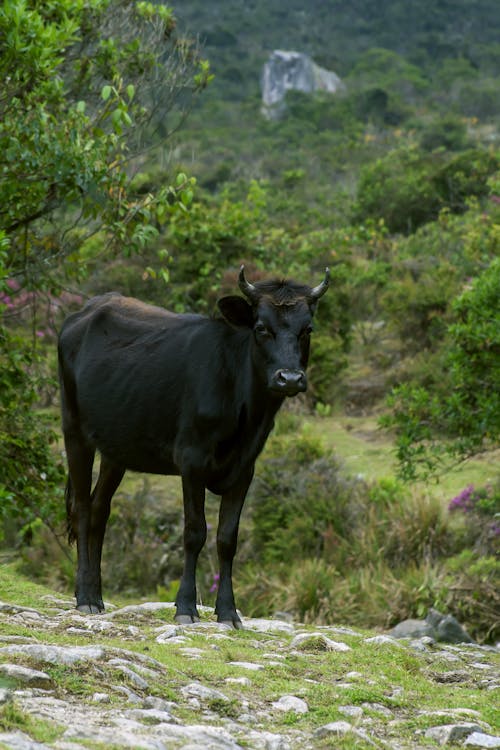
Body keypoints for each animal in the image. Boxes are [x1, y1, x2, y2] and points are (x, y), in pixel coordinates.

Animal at [57, 266, 328, 628]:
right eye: (261, 328)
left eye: (307, 329)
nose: (290, 378)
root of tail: (87, 310)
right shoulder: (192, 461)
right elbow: (194, 532)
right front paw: (185, 605)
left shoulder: (245, 469)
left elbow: (227, 538)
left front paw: (228, 611)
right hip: (75, 432)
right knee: (83, 509)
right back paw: (86, 597)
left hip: (116, 447)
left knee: (100, 509)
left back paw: (94, 594)